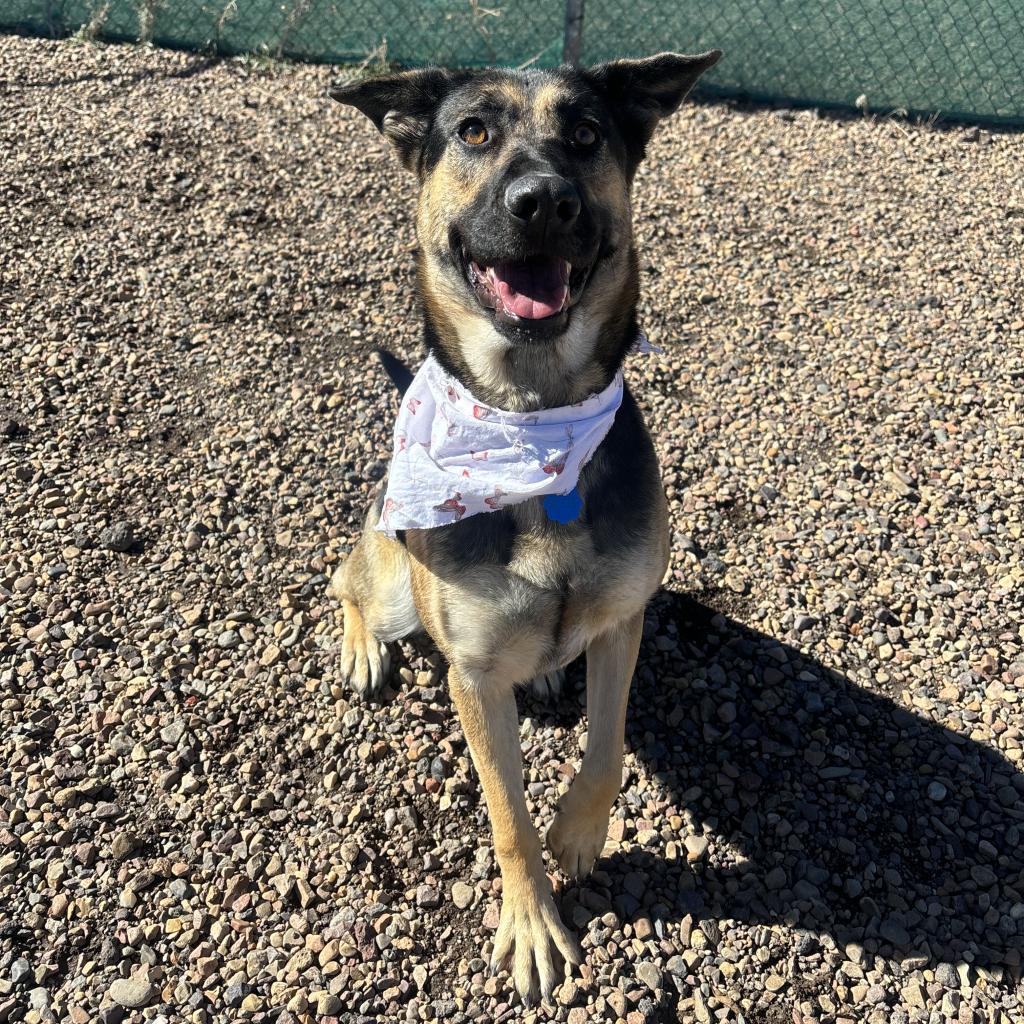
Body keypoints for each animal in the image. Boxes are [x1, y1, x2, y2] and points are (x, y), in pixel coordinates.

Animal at [327, 51, 720, 1003]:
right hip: (394, 582)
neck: (533, 423)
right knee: (344, 580)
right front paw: (533, 923)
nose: (544, 199)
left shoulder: (622, 619)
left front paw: (577, 835)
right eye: (474, 132)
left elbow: (606, 750)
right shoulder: (468, 670)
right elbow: (507, 812)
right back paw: (363, 648)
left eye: (585, 134)